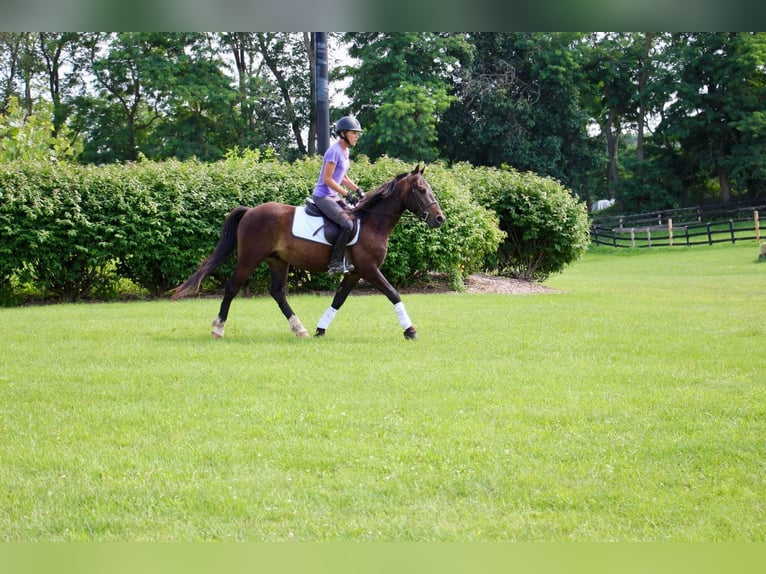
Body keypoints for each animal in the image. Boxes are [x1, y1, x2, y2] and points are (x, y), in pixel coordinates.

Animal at [171, 165, 448, 342]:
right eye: (421, 190)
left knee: (278, 292)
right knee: (232, 288)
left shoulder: (354, 273)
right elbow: (393, 293)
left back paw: (299, 329)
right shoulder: (369, 269)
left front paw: (320, 330)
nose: (439, 219)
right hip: (249, 258)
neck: (372, 222)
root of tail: (250, 211)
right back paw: (218, 329)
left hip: (277, 261)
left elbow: (338, 299)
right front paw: (410, 331)